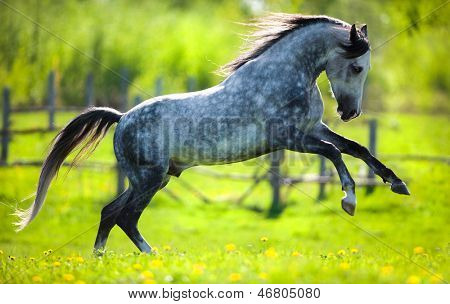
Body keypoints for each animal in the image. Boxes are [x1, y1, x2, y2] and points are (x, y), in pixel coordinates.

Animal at [14, 13, 410, 252]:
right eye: (357, 67)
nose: (349, 112)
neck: (286, 76)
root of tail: (122, 117)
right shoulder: (291, 138)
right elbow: (335, 153)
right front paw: (349, 200)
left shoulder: (314, 129)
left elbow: (357, 149)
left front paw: (397, 184)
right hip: (149, 179)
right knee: (125, 217)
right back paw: (152, 258)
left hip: (152, 179)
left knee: (110, 212)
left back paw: (102, 260)